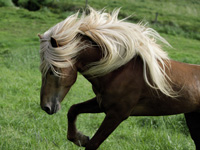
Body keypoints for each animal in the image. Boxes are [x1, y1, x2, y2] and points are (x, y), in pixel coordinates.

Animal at [38, 7, 200, 150]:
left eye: (52, 71)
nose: (46, 107)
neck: (117, 71)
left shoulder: (117, 114)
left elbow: (92, 145)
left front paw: (83, 139)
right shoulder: (102, 103)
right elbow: (73, 110)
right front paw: (80, 138)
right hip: (192, 117)